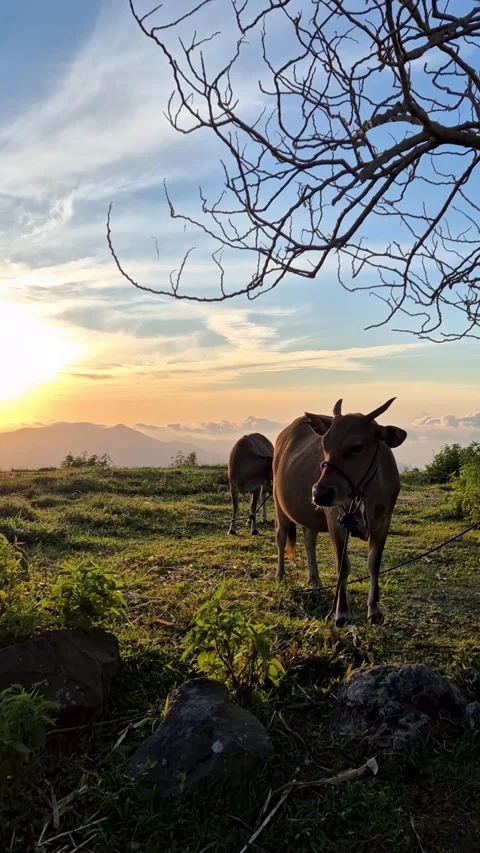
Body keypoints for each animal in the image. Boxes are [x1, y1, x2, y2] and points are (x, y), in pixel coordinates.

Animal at [273, 398, 406, 626]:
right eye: (324, 445)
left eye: (357, 446)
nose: (320, 493)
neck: (364, 493)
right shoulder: (336, 522)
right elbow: (343, 566)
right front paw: (341, 613)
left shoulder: (383, 522)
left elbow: (374, 564)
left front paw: (374, 611)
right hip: (278, 502)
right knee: (281, 538)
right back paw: (280, 577)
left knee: (309, 540)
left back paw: (315, 581)